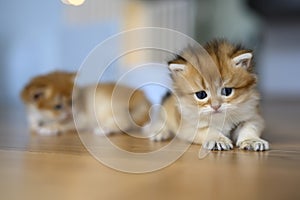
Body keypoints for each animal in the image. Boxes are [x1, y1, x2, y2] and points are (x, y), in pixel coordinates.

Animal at [20, 71, 151, 135]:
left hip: (106, 108)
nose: (70, 113)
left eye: (71, 102)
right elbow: (33, 126)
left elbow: (62, 124)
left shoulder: (80, 120)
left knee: (124, 124)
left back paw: (104, 129)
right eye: (58, 106)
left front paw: (49, 128)